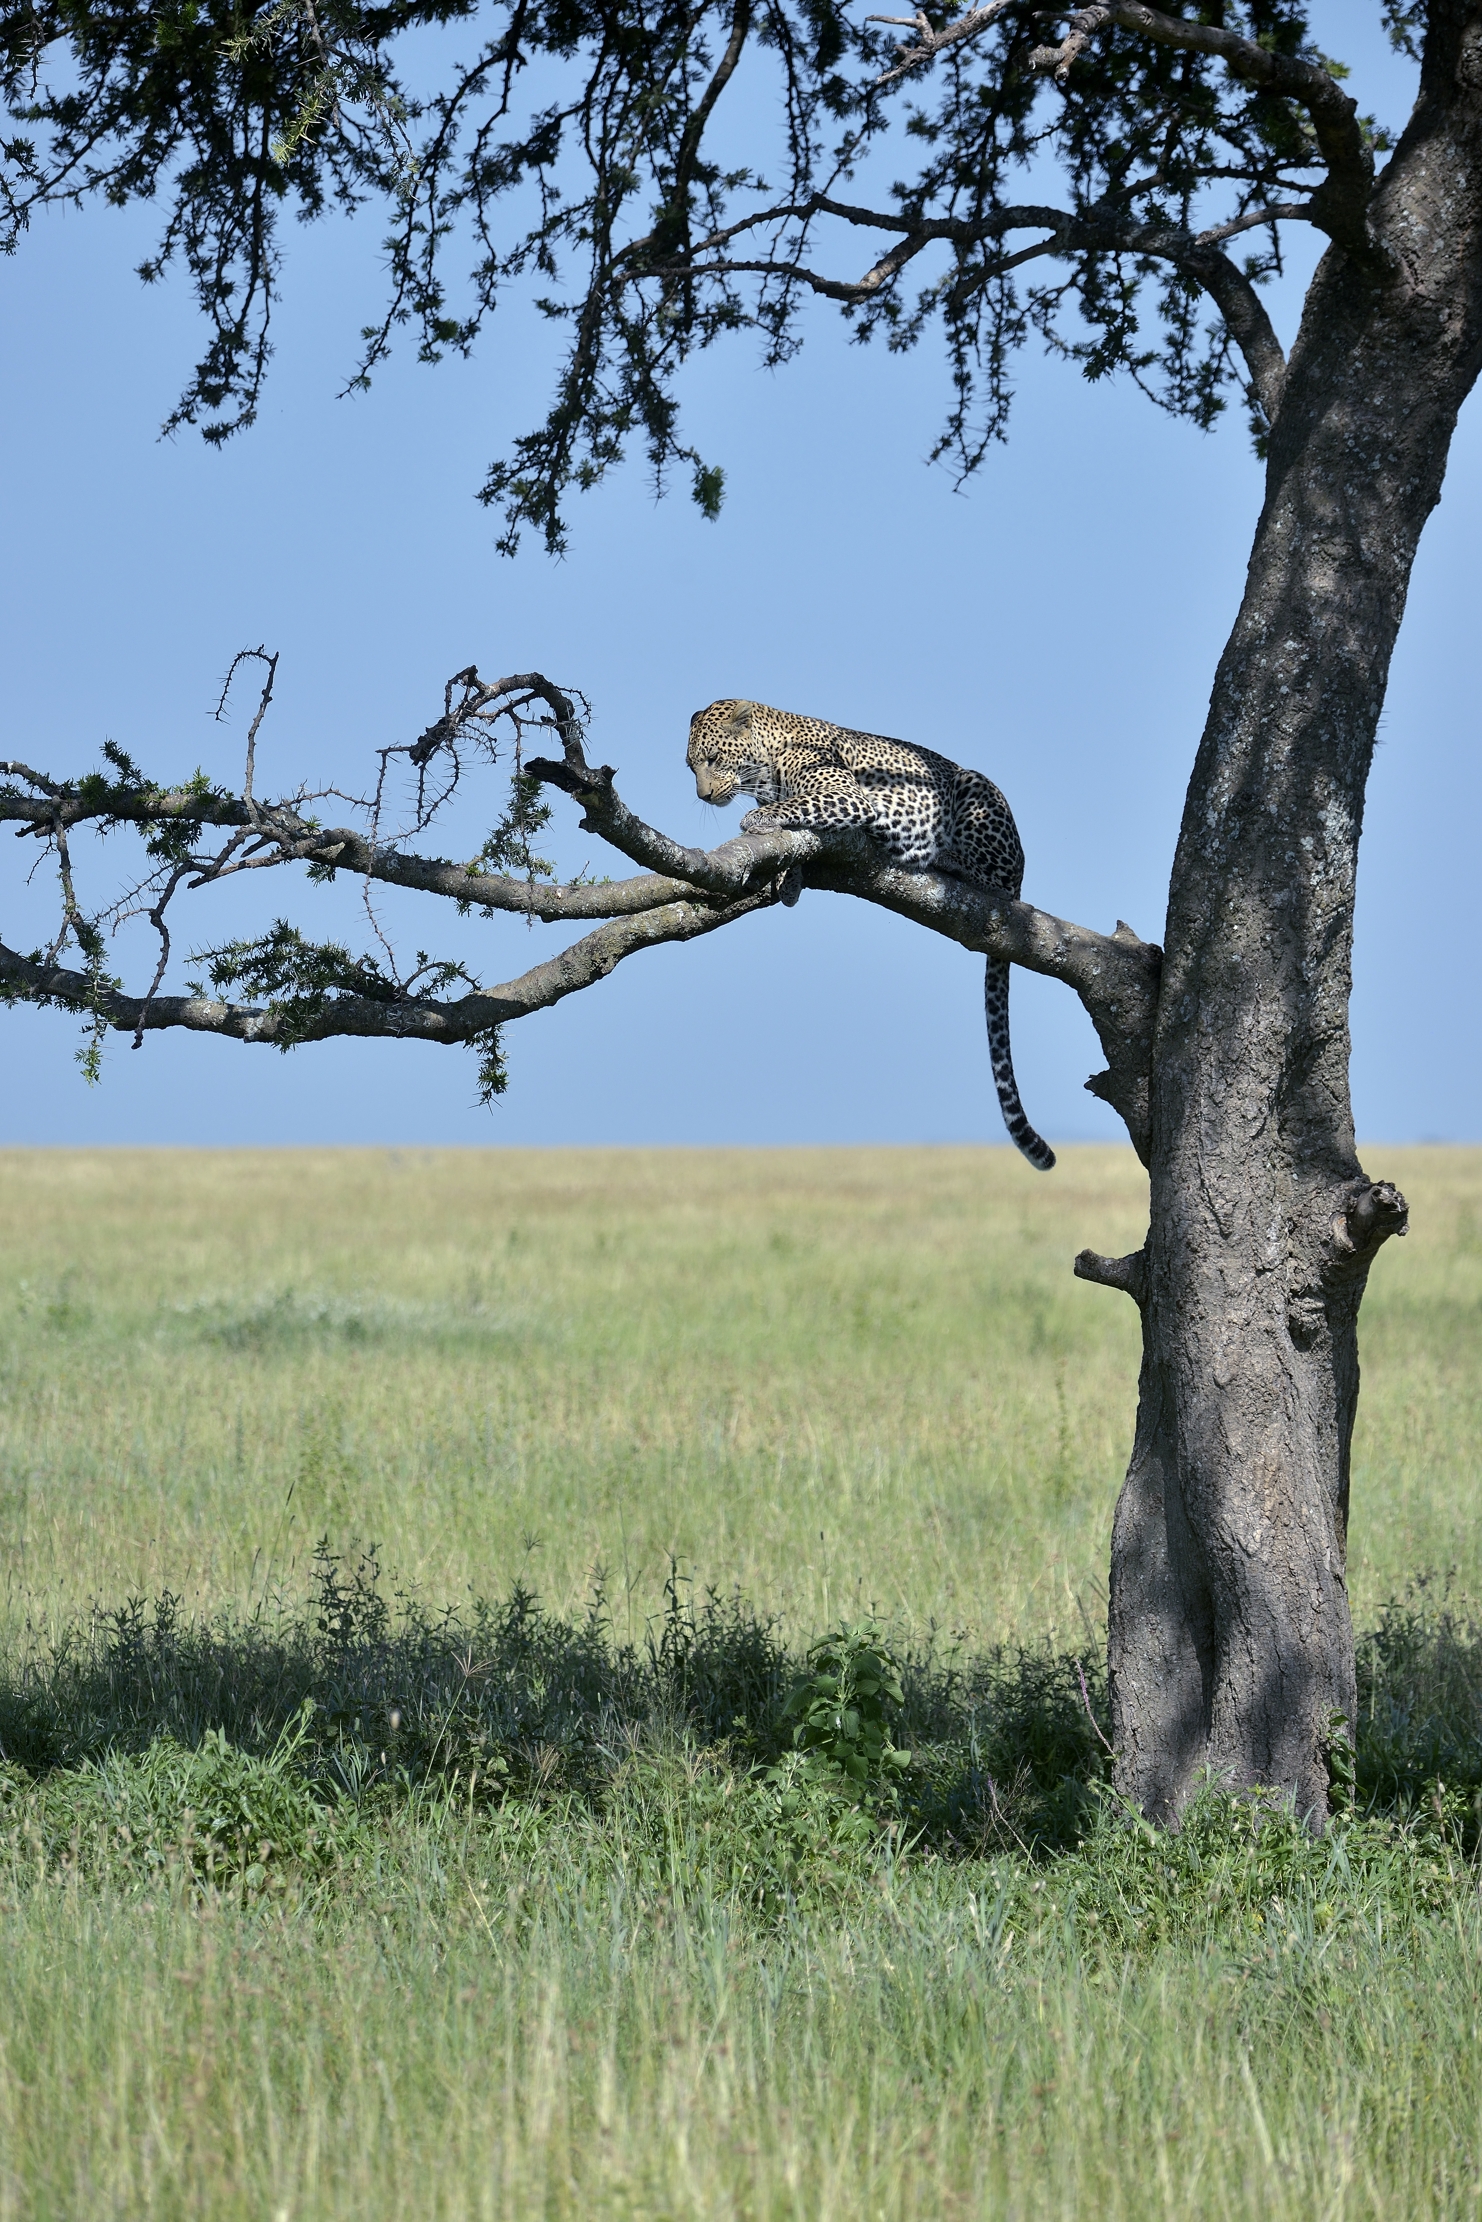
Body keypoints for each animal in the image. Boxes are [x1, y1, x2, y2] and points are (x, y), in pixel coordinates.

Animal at [687, 699, 1055, 1171]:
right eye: (691, 766)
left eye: (713, 760)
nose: (703, 796)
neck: (766, 762)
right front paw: (789, 881)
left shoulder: (848, 796)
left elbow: (796, 803)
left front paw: (756, 820)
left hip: (977, 795)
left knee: (996, 881)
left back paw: (945, 858)